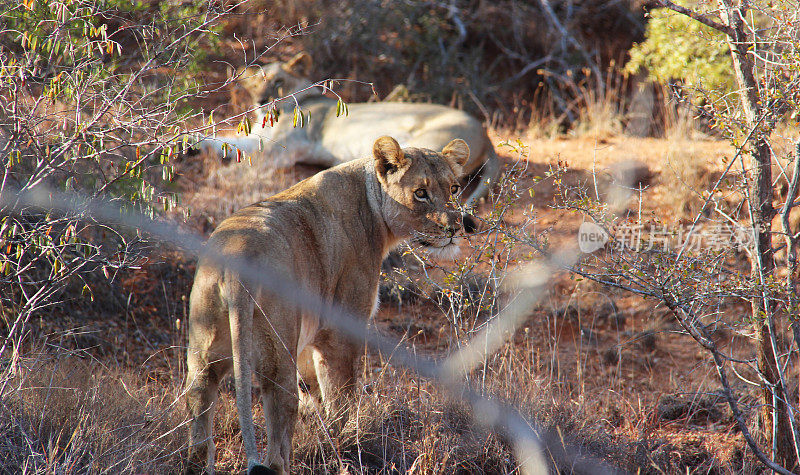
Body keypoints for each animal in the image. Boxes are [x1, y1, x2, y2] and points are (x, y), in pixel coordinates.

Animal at [186, 136, 476, 474]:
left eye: (454, 188)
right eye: (420, 193)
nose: (456, 228)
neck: (374, 208)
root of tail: (236, 266)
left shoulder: (309, 336)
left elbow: (314, 390)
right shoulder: (341, 330)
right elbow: (341, 397)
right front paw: (344, 444)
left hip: (202, 355)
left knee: (199, 423)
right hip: (277, 357)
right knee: (277, 447)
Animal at [198, 53, 500, 207]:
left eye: (278, 81)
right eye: (252, 84)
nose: (261, 101)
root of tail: (487, 136)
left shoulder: (281, 151)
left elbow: (248, 167)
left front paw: (220, 178)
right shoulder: (259, 140)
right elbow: (223, 141)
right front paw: (191, 144)